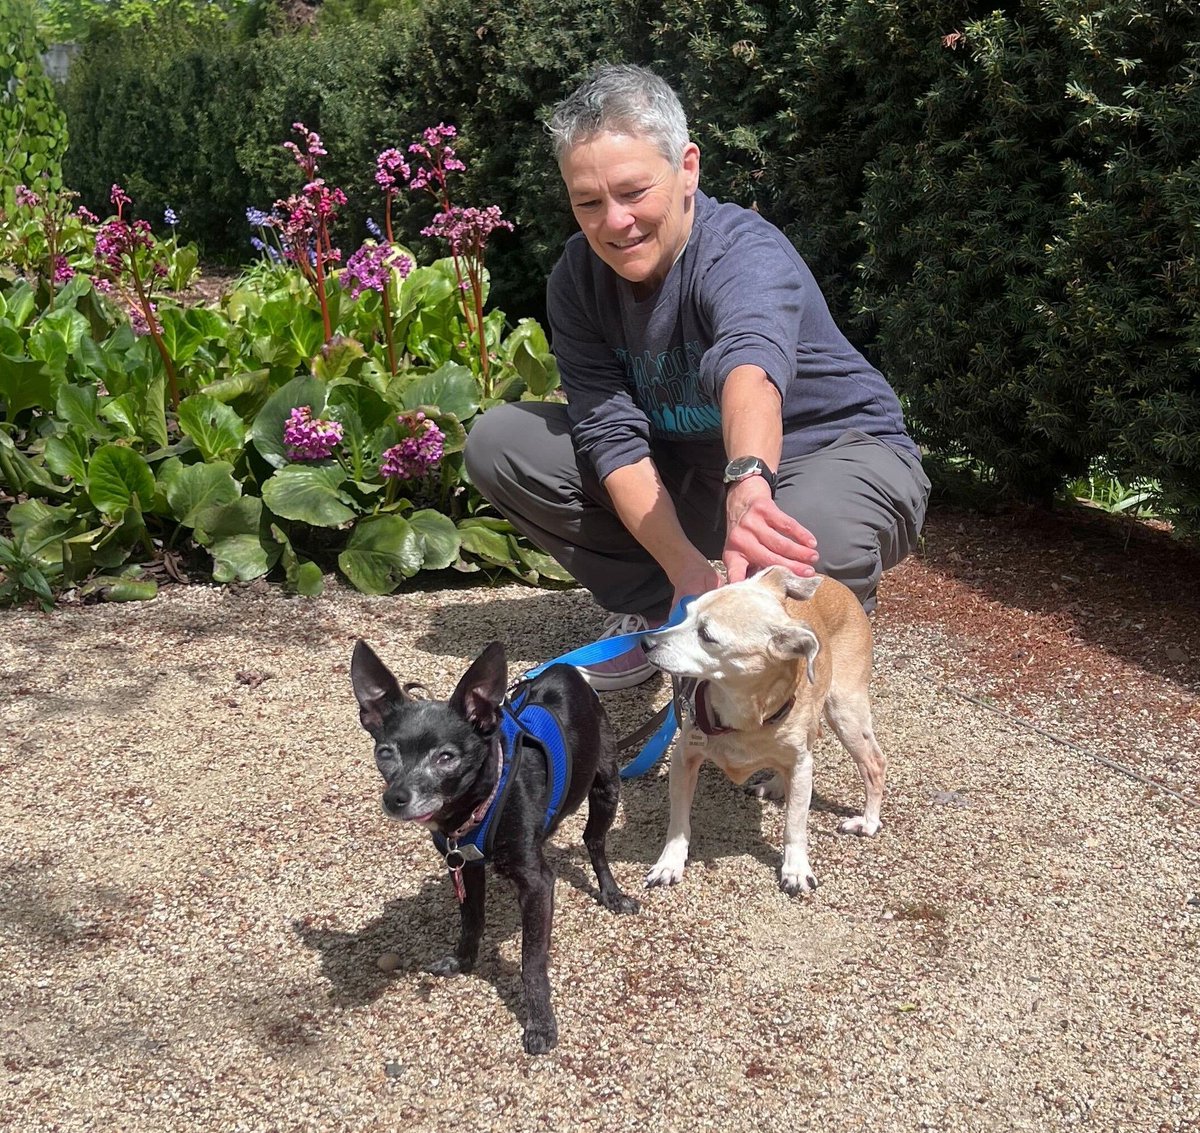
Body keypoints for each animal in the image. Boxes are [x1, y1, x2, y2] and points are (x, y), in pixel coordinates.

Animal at [350, 638, 643, 1051]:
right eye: (385, 753)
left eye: (446, 757)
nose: (395, 798)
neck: (475, 804)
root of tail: (564, 669)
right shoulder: (464, 864)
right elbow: (472, 918)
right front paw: (462, 961)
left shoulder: (537, 885)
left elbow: (531, 961)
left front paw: (540, 1023)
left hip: (607, 787)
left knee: (595, 843)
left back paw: (612, 894)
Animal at [643, 566, 888, 892]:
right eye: (685, 612)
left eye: (706, 635)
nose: (646, 642)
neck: (741, 715)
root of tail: (836, 584)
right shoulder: (684, 760)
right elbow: (678, 822)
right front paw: (669, 863)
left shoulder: (801, 763)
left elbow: (794, 824)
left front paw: (796, 869)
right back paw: (775, 785)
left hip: (845, 712)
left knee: (874, 763)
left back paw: (868, 821)